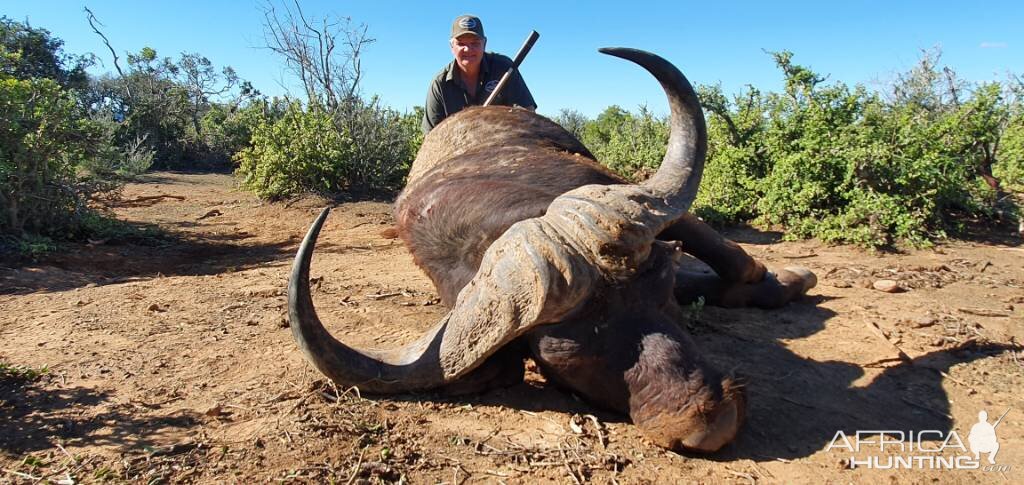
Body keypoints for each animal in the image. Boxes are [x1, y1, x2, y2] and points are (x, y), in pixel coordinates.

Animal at [290, 47, 815, 452]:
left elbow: (736, 261)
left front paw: (786, 279)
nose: (708, 422)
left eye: (657, 293)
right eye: (561, 353)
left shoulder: (618, 186)